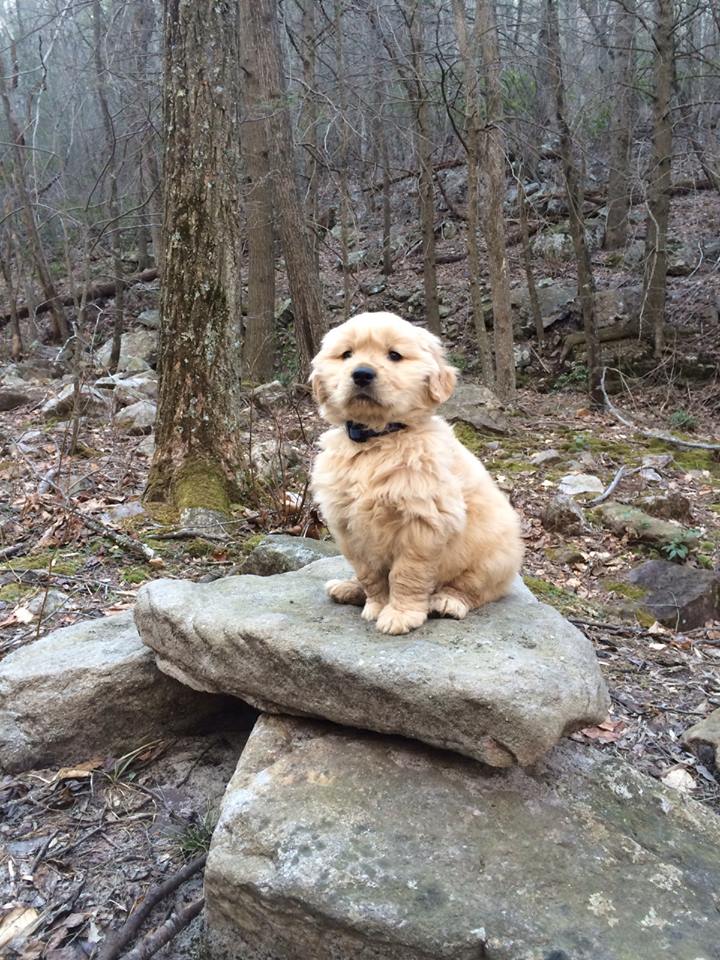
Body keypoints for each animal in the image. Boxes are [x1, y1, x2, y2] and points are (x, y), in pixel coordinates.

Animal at [310, 312, 524, 632]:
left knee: (474, 589)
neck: (377, 441)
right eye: (346, 354)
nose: (361, 374)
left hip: (493, 557)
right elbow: (369, 573)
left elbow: (406, 574)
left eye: (394, 355)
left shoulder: (422, 523)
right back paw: (348, 588)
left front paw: (400, 614)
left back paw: (447, 601)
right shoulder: (347, 525)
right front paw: (375, 603)